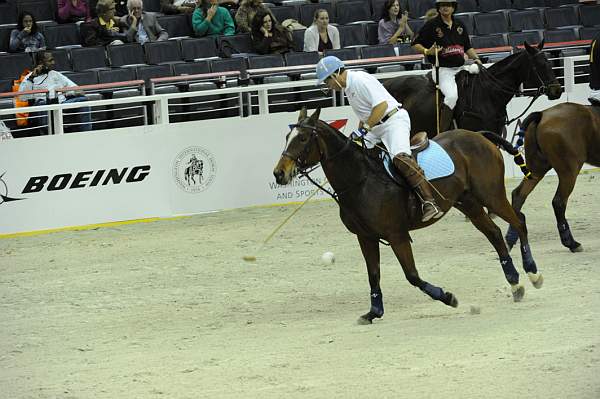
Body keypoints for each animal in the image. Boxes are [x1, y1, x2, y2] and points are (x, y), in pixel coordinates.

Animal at [272, 108, 544, 324]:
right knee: (495, 233)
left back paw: (533, 273)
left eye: (303, 138)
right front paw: (373, 312)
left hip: (490, 194)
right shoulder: (365, 237)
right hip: (468, 202)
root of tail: (478, 134)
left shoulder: (397, 234)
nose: (279, 173)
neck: (360, 180)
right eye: (286, 137)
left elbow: (412, 275)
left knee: (519, 221)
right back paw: (515, 284)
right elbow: (373, 275)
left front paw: (447, 297)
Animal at [506, 103, 600, 253]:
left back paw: (510, 239)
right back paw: (571, 243)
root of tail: (542, 114)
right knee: (559, 202)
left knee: (519, 194)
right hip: (569, 172)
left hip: (537, 169)